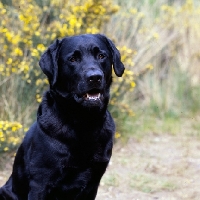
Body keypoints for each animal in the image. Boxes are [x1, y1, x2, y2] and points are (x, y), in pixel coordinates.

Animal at [0, 33, 124, 199]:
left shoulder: (93, 183)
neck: (84, 122)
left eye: (101, 56)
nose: (95, 77)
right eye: (73, 59)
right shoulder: (40, 183)